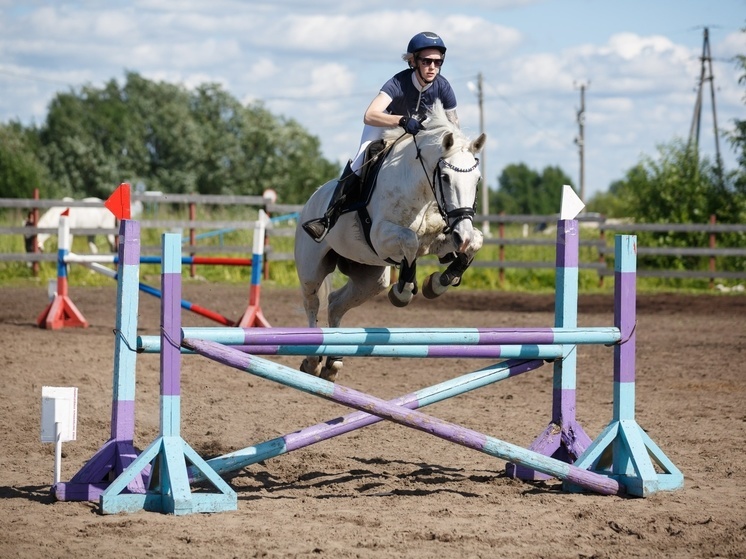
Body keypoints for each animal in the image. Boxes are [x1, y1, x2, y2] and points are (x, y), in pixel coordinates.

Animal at [294, 99, 486, 380]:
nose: (462, 234)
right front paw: (404, 290)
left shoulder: (440, 238)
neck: (422, 190)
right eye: (445, 177)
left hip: (371, 278)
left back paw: (333, 362)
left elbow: (475, 242)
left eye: (477, 179)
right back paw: (312, 360)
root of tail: (312, 199)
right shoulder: (381, 235)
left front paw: (440, 282)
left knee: (335, 304)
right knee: (311, 303)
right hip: (311, 268)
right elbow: (410, 242)